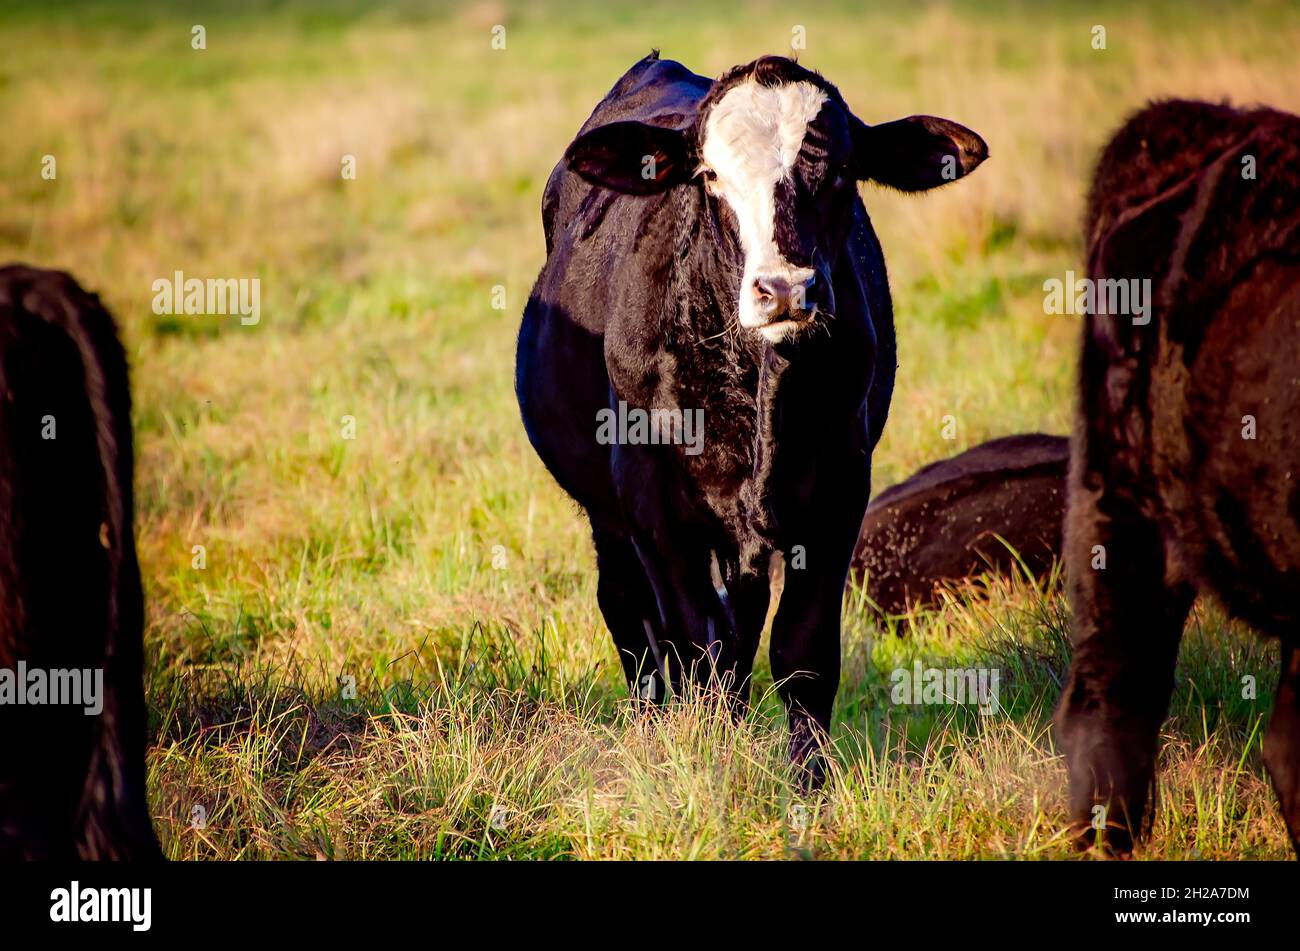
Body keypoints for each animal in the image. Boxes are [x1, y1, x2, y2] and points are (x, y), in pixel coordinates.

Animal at [516, 52, 986, 779]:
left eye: (843, 170)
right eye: (710, 176)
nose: (786, 289)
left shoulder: (839, 487)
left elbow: (800, 653)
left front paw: (808, 784)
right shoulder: (653, 503)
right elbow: (691, 644)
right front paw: (702, 760)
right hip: (606, 511)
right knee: (629, 610)